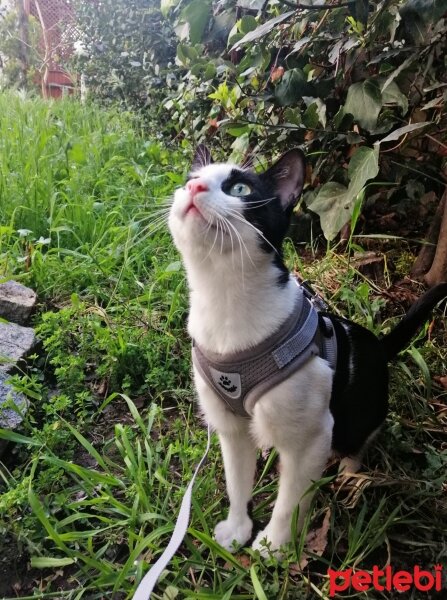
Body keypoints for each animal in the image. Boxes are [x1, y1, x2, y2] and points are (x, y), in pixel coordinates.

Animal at [169, 144, 447, 552]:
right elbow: (237, 481)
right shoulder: (230, 428)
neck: (224, 303)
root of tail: (379, 347)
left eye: (240, 189)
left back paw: (350, 471)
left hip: (357, 413)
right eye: (189, 179)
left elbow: (291, 501)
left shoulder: (311, 436)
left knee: (362, 435)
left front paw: (274, 547)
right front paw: (237, 530)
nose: (195, 187)